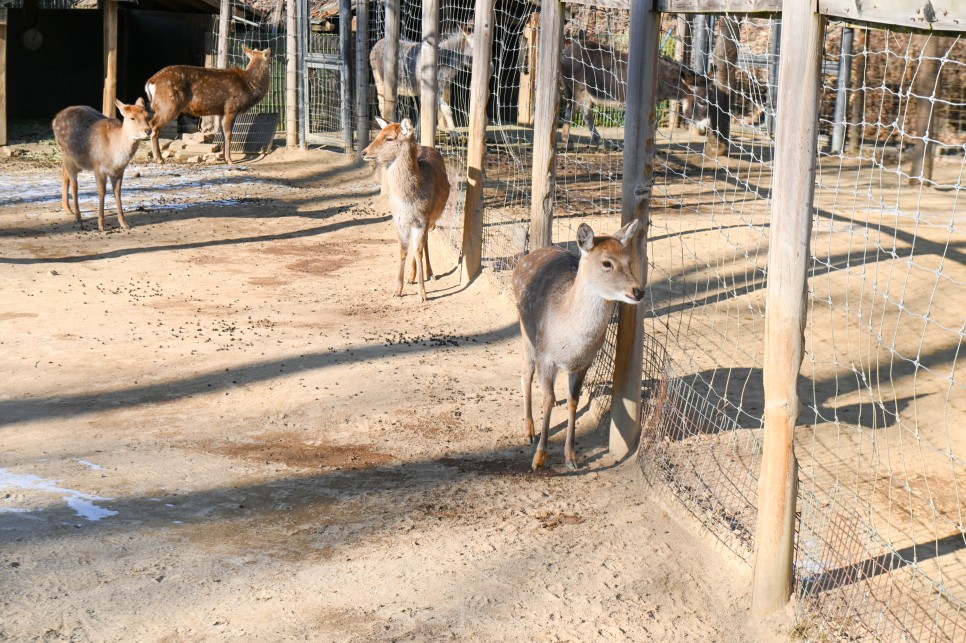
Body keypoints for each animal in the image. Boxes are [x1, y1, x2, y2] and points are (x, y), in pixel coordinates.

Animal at [52, 99, 154, 233]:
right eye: (132, 118)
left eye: (147, 116)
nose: (148, 130)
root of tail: (55, 119)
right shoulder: (98, 167)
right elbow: (102, 192)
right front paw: (101, 225)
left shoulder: (119, 171)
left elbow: (117, 193)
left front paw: (124, 223)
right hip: (66, 152)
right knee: (74, 183)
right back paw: (77, 216)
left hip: (74, 159)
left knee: (65, 174)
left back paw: (68, 209)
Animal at [364, 117, 452, 304]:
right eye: (378, 134)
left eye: (389, 138)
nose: (364, 152)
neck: (409, 201)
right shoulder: (399, 220)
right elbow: (403, 250)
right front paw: (397, 290)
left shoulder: (422, 219)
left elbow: (418, 250)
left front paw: (423, 294)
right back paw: (411, 277)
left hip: (433, 217)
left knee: (424, 242)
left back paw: (430, 273)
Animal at [510, 219, 648, 470]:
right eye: (606, 262)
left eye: (629, 261)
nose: (638, 291)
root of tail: (525, 257)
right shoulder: (546, 356)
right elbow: (547, 399)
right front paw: (539, 459)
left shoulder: (584, 363)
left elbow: (573, 402)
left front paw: (571, 457)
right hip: (526, 332)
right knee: (525, 373)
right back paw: (529, 431)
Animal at [560, 39, 712, 148]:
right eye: (702, 102)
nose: (706, 128)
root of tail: (566, 50)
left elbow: (653, 125)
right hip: (579, 91)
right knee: (573, 112)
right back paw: (570, 142)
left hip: (584, 93)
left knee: (582, 113)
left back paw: (594, 141)